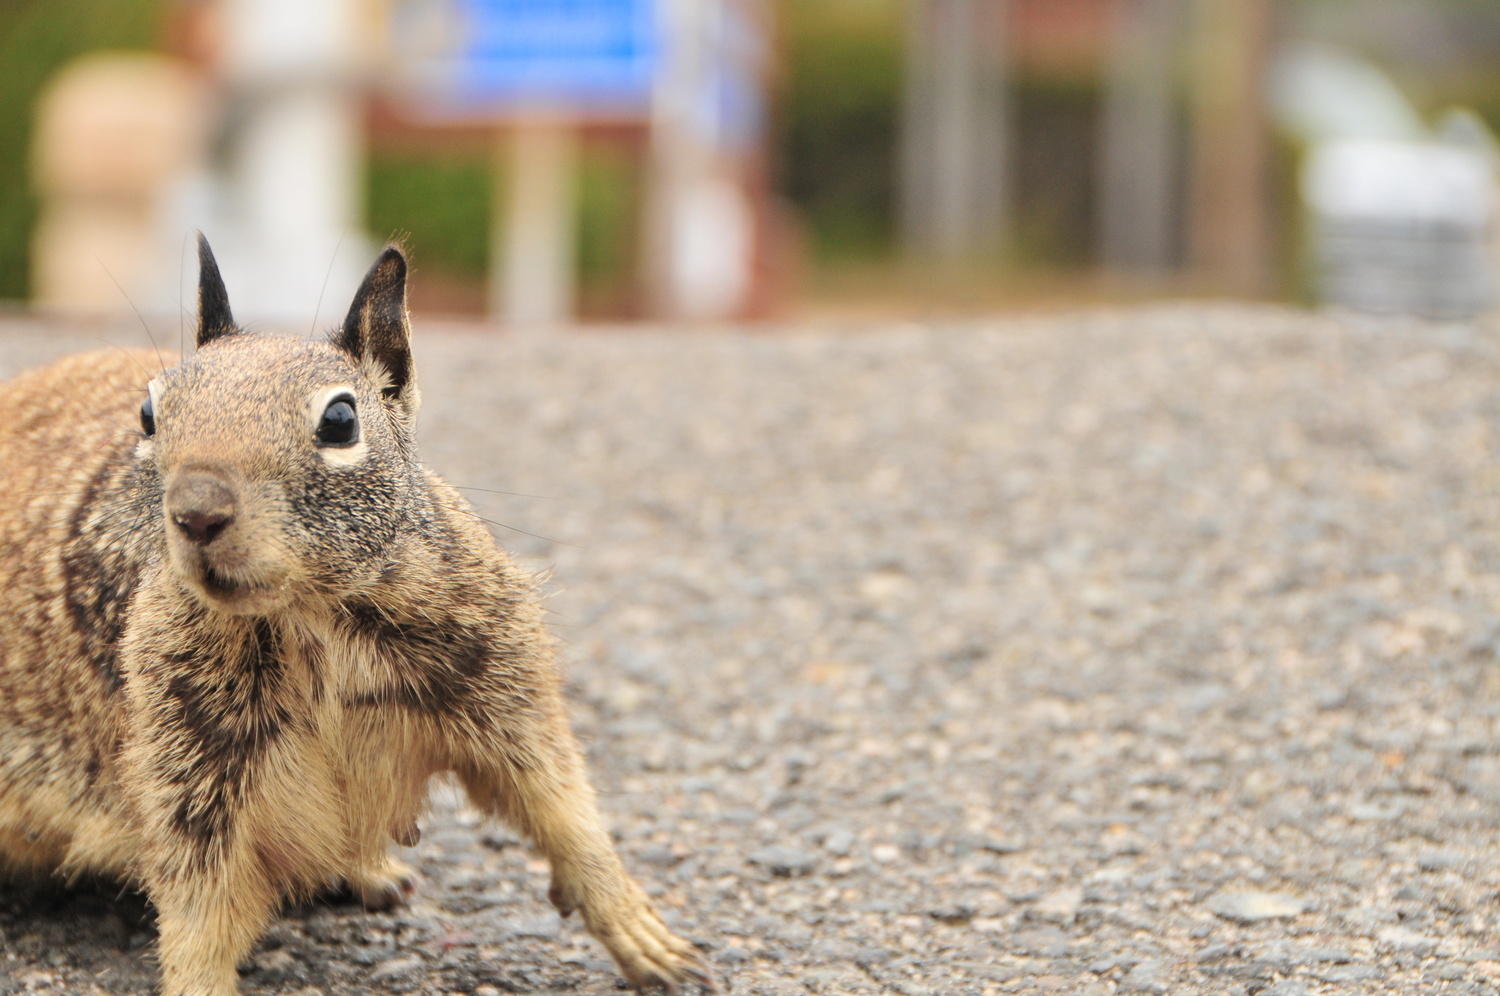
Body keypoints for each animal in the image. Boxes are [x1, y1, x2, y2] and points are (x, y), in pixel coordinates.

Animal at [0, 236, 713, 995]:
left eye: (340, 421)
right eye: (147, 413)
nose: (196, 513)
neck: (309, 617)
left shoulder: (499, 683)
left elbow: (562, 804)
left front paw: (647, 937)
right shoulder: (186, 769)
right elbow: (198, 909)